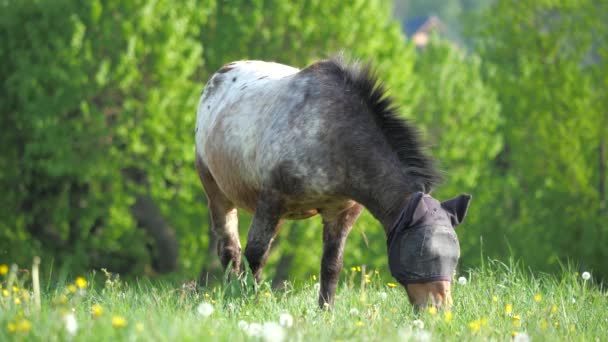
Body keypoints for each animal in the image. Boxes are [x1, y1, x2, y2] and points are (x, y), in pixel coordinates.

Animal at [197, 57, 472, 308]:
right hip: (218, 194)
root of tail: (222, 73)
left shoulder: (340, 213)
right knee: (231, 251)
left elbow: (331, 266)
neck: (332, 135)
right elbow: (254, 256)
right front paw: (243, 303)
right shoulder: (270, 203)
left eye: (454, 258)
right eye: (423, 252)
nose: (440, 309)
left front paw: (325, 310)